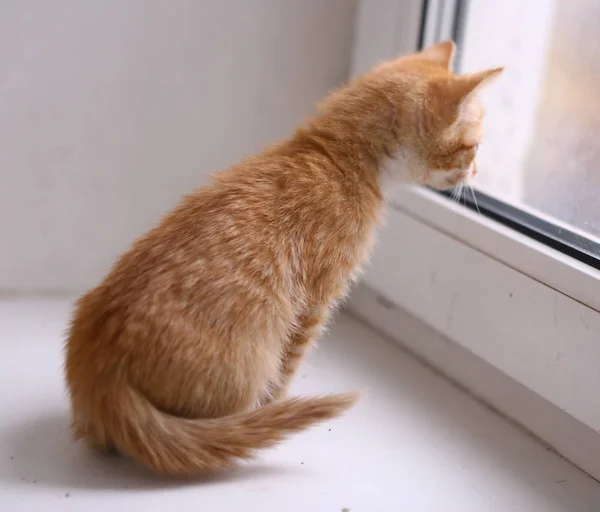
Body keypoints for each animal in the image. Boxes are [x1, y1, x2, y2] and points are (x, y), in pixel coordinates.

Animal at [64, 41, 502, 476]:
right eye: (474, 147)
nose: (477, 171)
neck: (335, 155)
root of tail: (101, 374)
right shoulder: (314, 303)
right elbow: (288, 365)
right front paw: (273, 408)